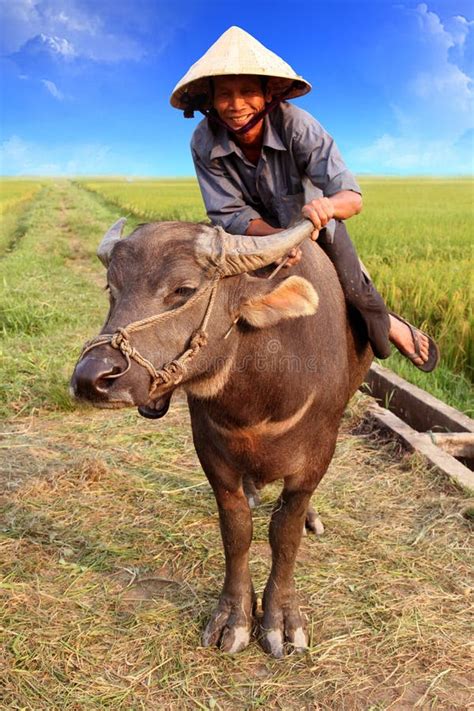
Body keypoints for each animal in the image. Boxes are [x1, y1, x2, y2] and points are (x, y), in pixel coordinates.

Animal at [71, 217, 374, 656]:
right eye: (113, 289)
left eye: (183, 290)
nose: (91, 377)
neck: (260, 397)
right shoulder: (212, 455)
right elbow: (236, 531)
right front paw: (234, 617)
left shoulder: (316, 456)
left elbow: (283, 534)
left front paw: (281, 620)